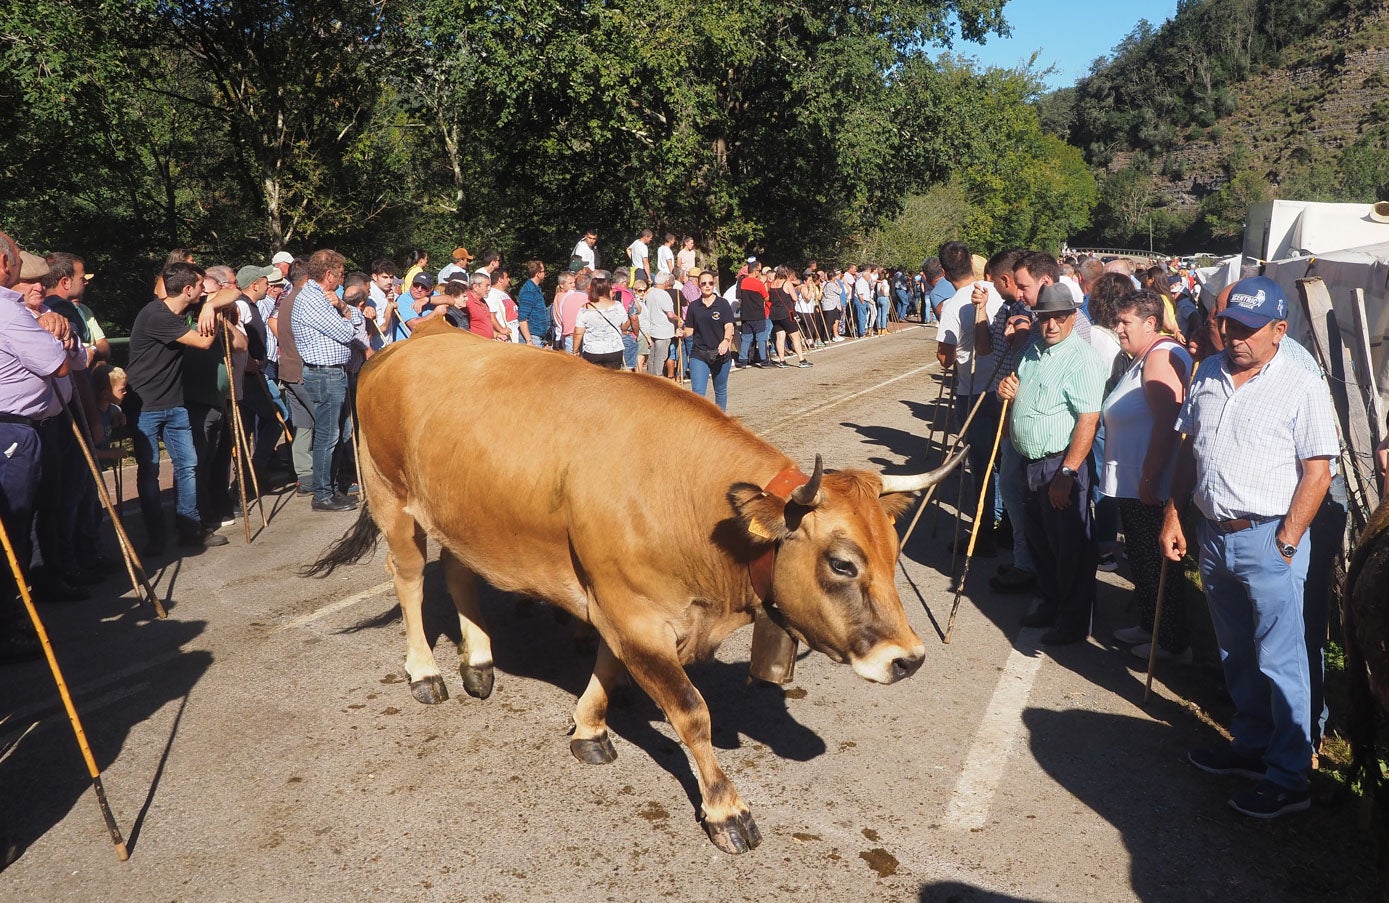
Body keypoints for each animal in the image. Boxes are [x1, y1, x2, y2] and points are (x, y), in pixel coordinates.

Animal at [309, 330, 966, 850]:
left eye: (894, 552)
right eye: (842, 564)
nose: (909, 659)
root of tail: (407, 342)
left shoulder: (619, 603)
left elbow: (611, 665)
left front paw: (589, 728)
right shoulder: (632, 609)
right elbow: (692, 711)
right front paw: (725, 808)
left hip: (463, 515)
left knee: (458, 571)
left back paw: (479, 661)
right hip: (392, 499)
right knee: (409, 579)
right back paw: (426, 673)